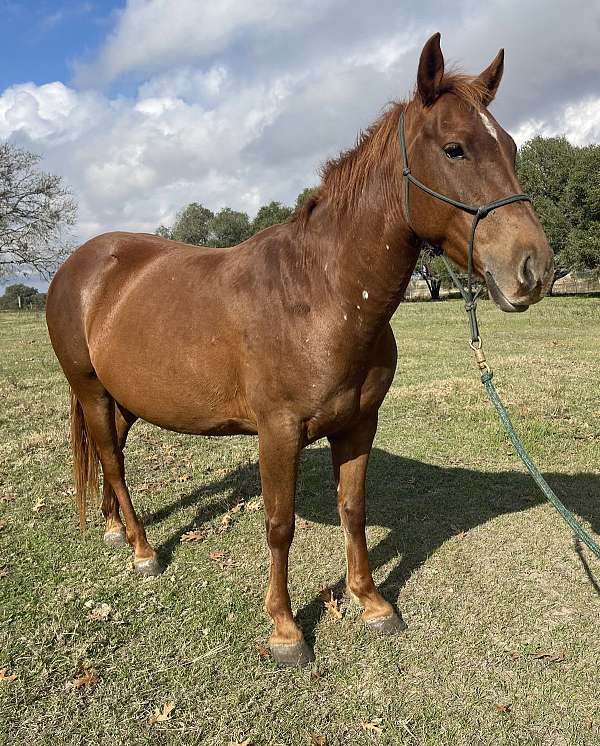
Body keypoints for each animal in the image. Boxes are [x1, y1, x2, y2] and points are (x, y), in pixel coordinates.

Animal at [46, 33, 554, 666]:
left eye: (509, 146)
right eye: (455, 149)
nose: (534, 269)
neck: (320, 295)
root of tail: (78, 265)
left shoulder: (359, 424)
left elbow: (353, 510)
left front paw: (371, 603)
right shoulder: (278, 432)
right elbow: (280, 524)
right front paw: (286, 631)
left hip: (127, 397)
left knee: (108, 448)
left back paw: (115, 528)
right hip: (90, 387)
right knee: (113, 461)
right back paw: (142, 550)